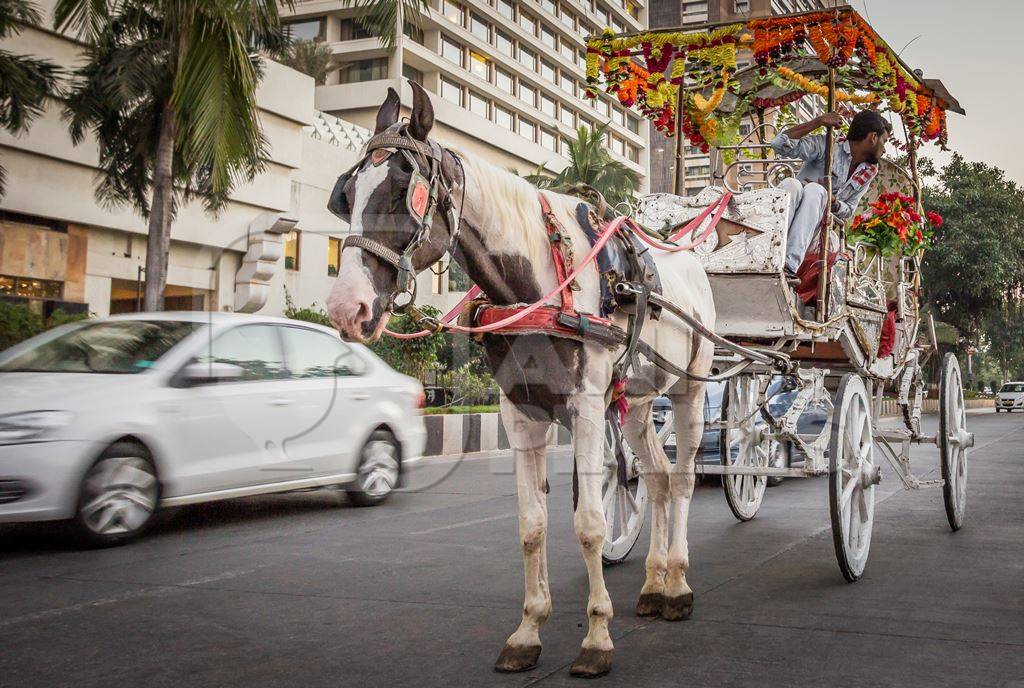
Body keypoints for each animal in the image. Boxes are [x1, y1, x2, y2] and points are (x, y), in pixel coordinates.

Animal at [327, 81, 712, 675]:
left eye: (399, 191)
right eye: (346, 194)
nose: (348, 308)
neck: (539, 281)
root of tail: (691, 261)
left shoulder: (585, 405)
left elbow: (590, 524)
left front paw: (596, 638)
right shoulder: (521, 411)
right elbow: (531, 526)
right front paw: (528, 631)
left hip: (691, 388)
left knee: (686, 477)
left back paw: (679, 585)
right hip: (640, 401)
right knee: (657, 478)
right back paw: (655, 584)